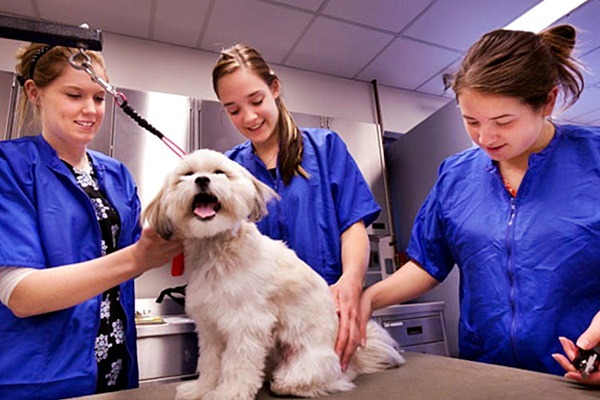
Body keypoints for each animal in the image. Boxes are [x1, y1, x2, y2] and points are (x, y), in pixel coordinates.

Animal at [144, 148, 404, 398]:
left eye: (219, 172)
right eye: (187, 175)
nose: (202, 179)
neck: (215, 250)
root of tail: (352, 363)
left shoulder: (246, 324)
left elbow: (237, 364)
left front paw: (229, 392)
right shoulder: (210, 328)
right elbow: (209, 363)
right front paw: (201, 389)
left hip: (308, 361)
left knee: (321, 380)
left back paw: (290, 385)